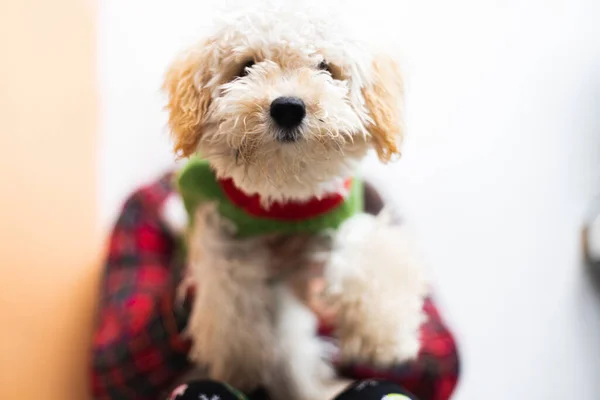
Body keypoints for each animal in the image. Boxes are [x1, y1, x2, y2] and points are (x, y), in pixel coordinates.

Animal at [162, 5, 428, 400]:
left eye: (325, 67)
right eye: (246, 66)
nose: (288, 107)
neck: (286, 196)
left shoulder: (340, 210)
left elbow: (366, 254)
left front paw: (382, 337)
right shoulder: (221, 230)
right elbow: (231, 297)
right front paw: (239, 364)